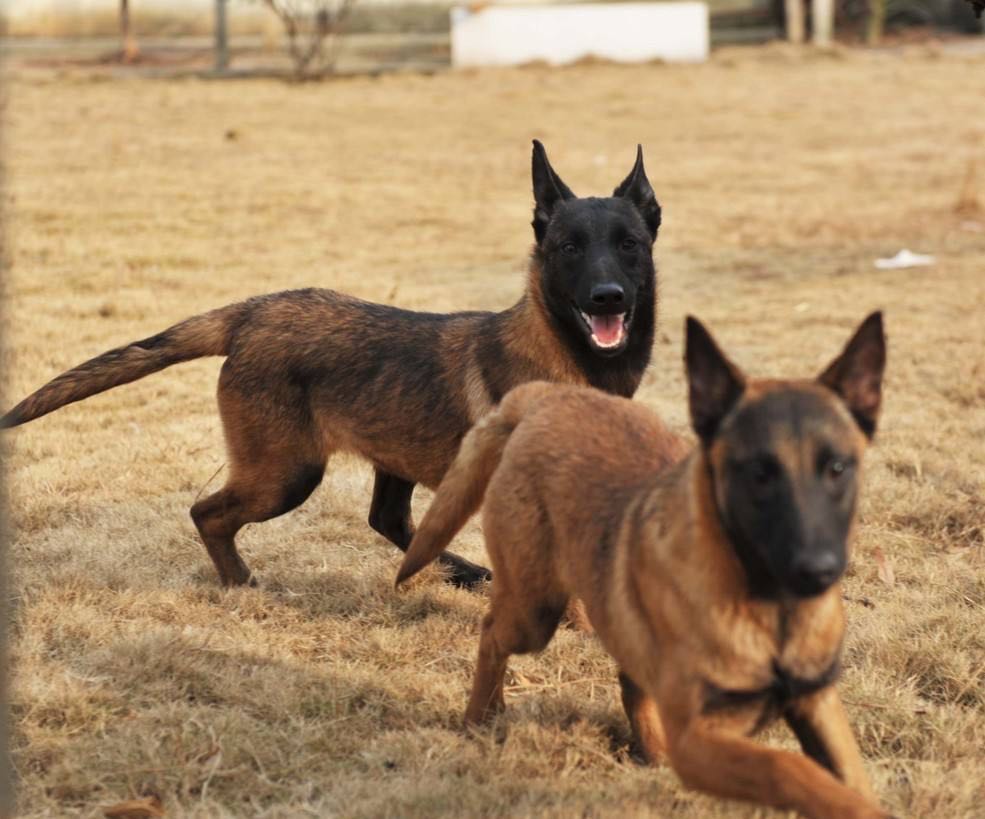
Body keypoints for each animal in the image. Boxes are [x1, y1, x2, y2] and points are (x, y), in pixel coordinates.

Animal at [396, 314, 888, 819]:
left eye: (838, 468)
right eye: (758, 474)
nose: (819, 570)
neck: (772, 615)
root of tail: (546, 396)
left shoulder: (819, 706)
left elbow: (846, 775)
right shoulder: (698, 741)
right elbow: (787, 769)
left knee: (629, 676)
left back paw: (648, 749)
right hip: (534, 611)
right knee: (493, 634)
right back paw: (482, 717)